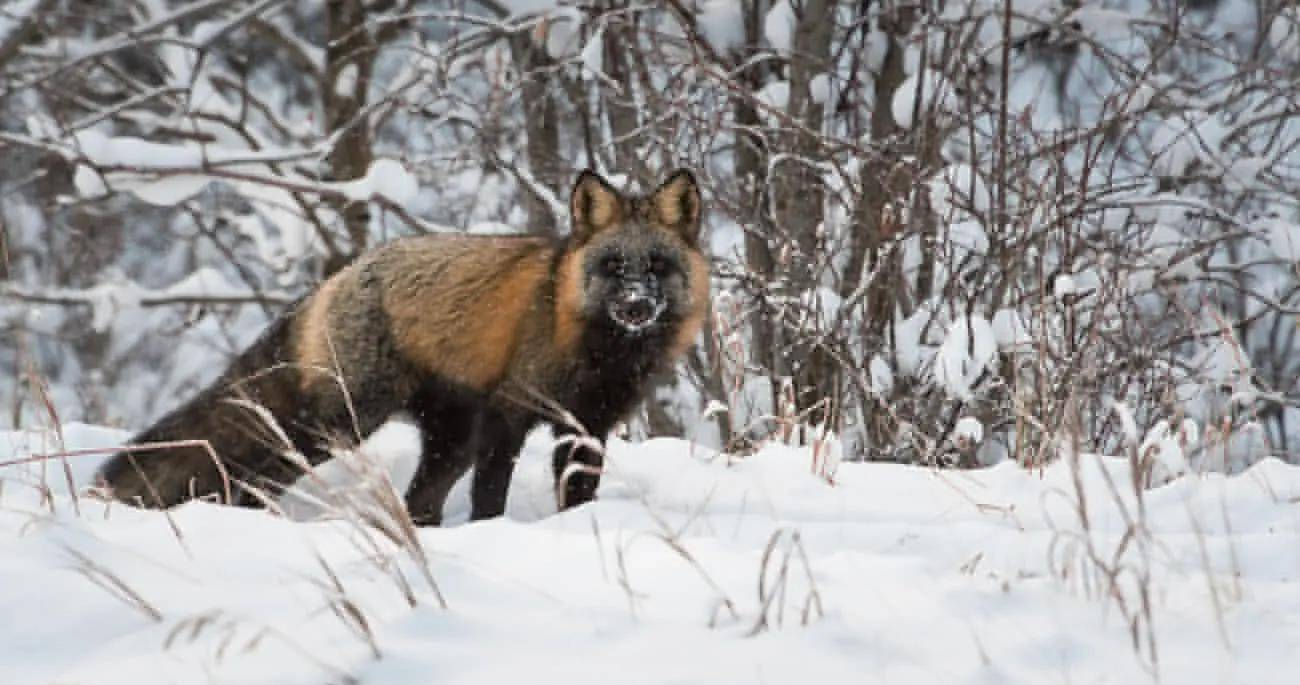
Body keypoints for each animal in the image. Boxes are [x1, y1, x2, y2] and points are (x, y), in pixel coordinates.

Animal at [100, 168, 712, 522]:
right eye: (613, 267)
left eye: (657, 267)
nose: (636, 306)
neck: (596, 352)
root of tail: (334, 279)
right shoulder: (508, 415)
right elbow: (490, 497)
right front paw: (491, 536)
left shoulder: (587, 425)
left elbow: (578, 497)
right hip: (341, 423)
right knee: (260, 475)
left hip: (447, 441)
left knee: (418, 503)